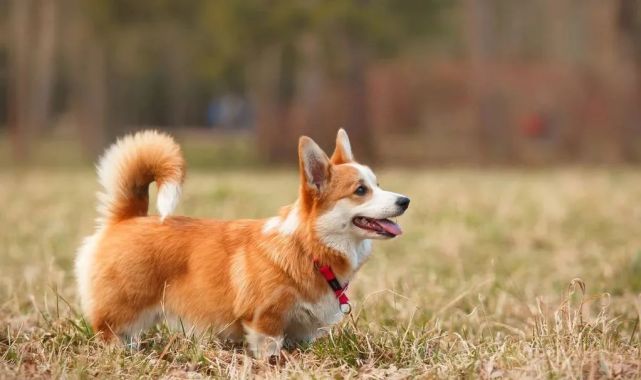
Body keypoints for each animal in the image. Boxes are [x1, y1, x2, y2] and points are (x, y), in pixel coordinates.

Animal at [74, 129, 404, 358]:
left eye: (378, 184)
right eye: (360, 190)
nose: (405, 200)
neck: (308, 248)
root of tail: (127, 218)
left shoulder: (302, 332)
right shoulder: (265, 322)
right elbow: (269, 350)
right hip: (123, 310)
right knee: (108, 330)